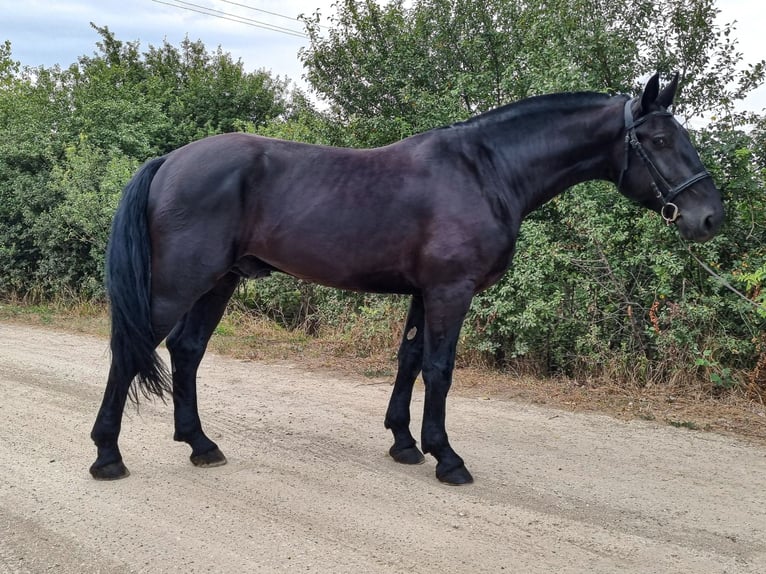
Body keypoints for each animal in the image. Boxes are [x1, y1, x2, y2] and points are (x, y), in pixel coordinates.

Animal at [91, 72, 728, 486]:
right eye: (659, 140)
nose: (710, 218)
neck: (485, 172)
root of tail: (170, 162)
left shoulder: (424, 293)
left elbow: (410, 360)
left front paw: (403, 443)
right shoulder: (451, 292)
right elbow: (440, 370)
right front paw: (447, 458)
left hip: (219, 280)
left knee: (187, 350)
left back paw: (200, 445)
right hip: (178, 283)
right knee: (131, 350)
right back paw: (107, 456)